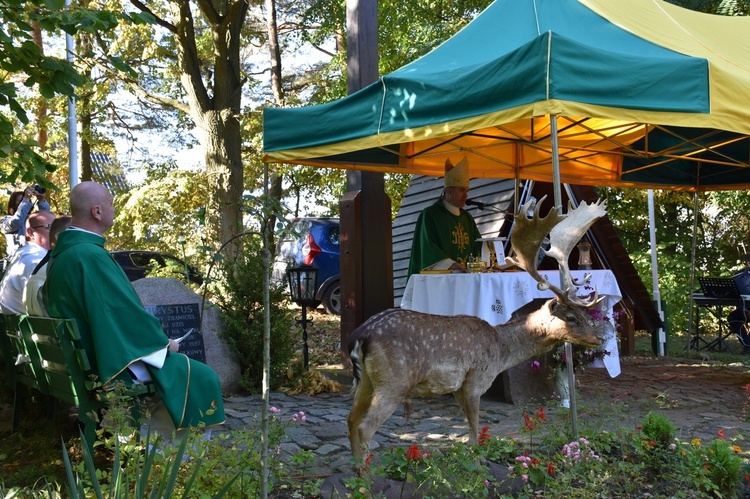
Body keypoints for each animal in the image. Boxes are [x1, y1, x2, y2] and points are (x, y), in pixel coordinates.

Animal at [350, 197, 608, 462]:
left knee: (351, 421)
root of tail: (361, 336)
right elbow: (474, 430)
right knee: (365, 427)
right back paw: (368, 471)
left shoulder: (457, 387)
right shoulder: (476, 379)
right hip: (395, 380)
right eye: (571, 317)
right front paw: (476, 458)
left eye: (583, 314)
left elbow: (469, 426)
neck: (500, 351)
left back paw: (358, 469)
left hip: (365, 381)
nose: (600, 337)